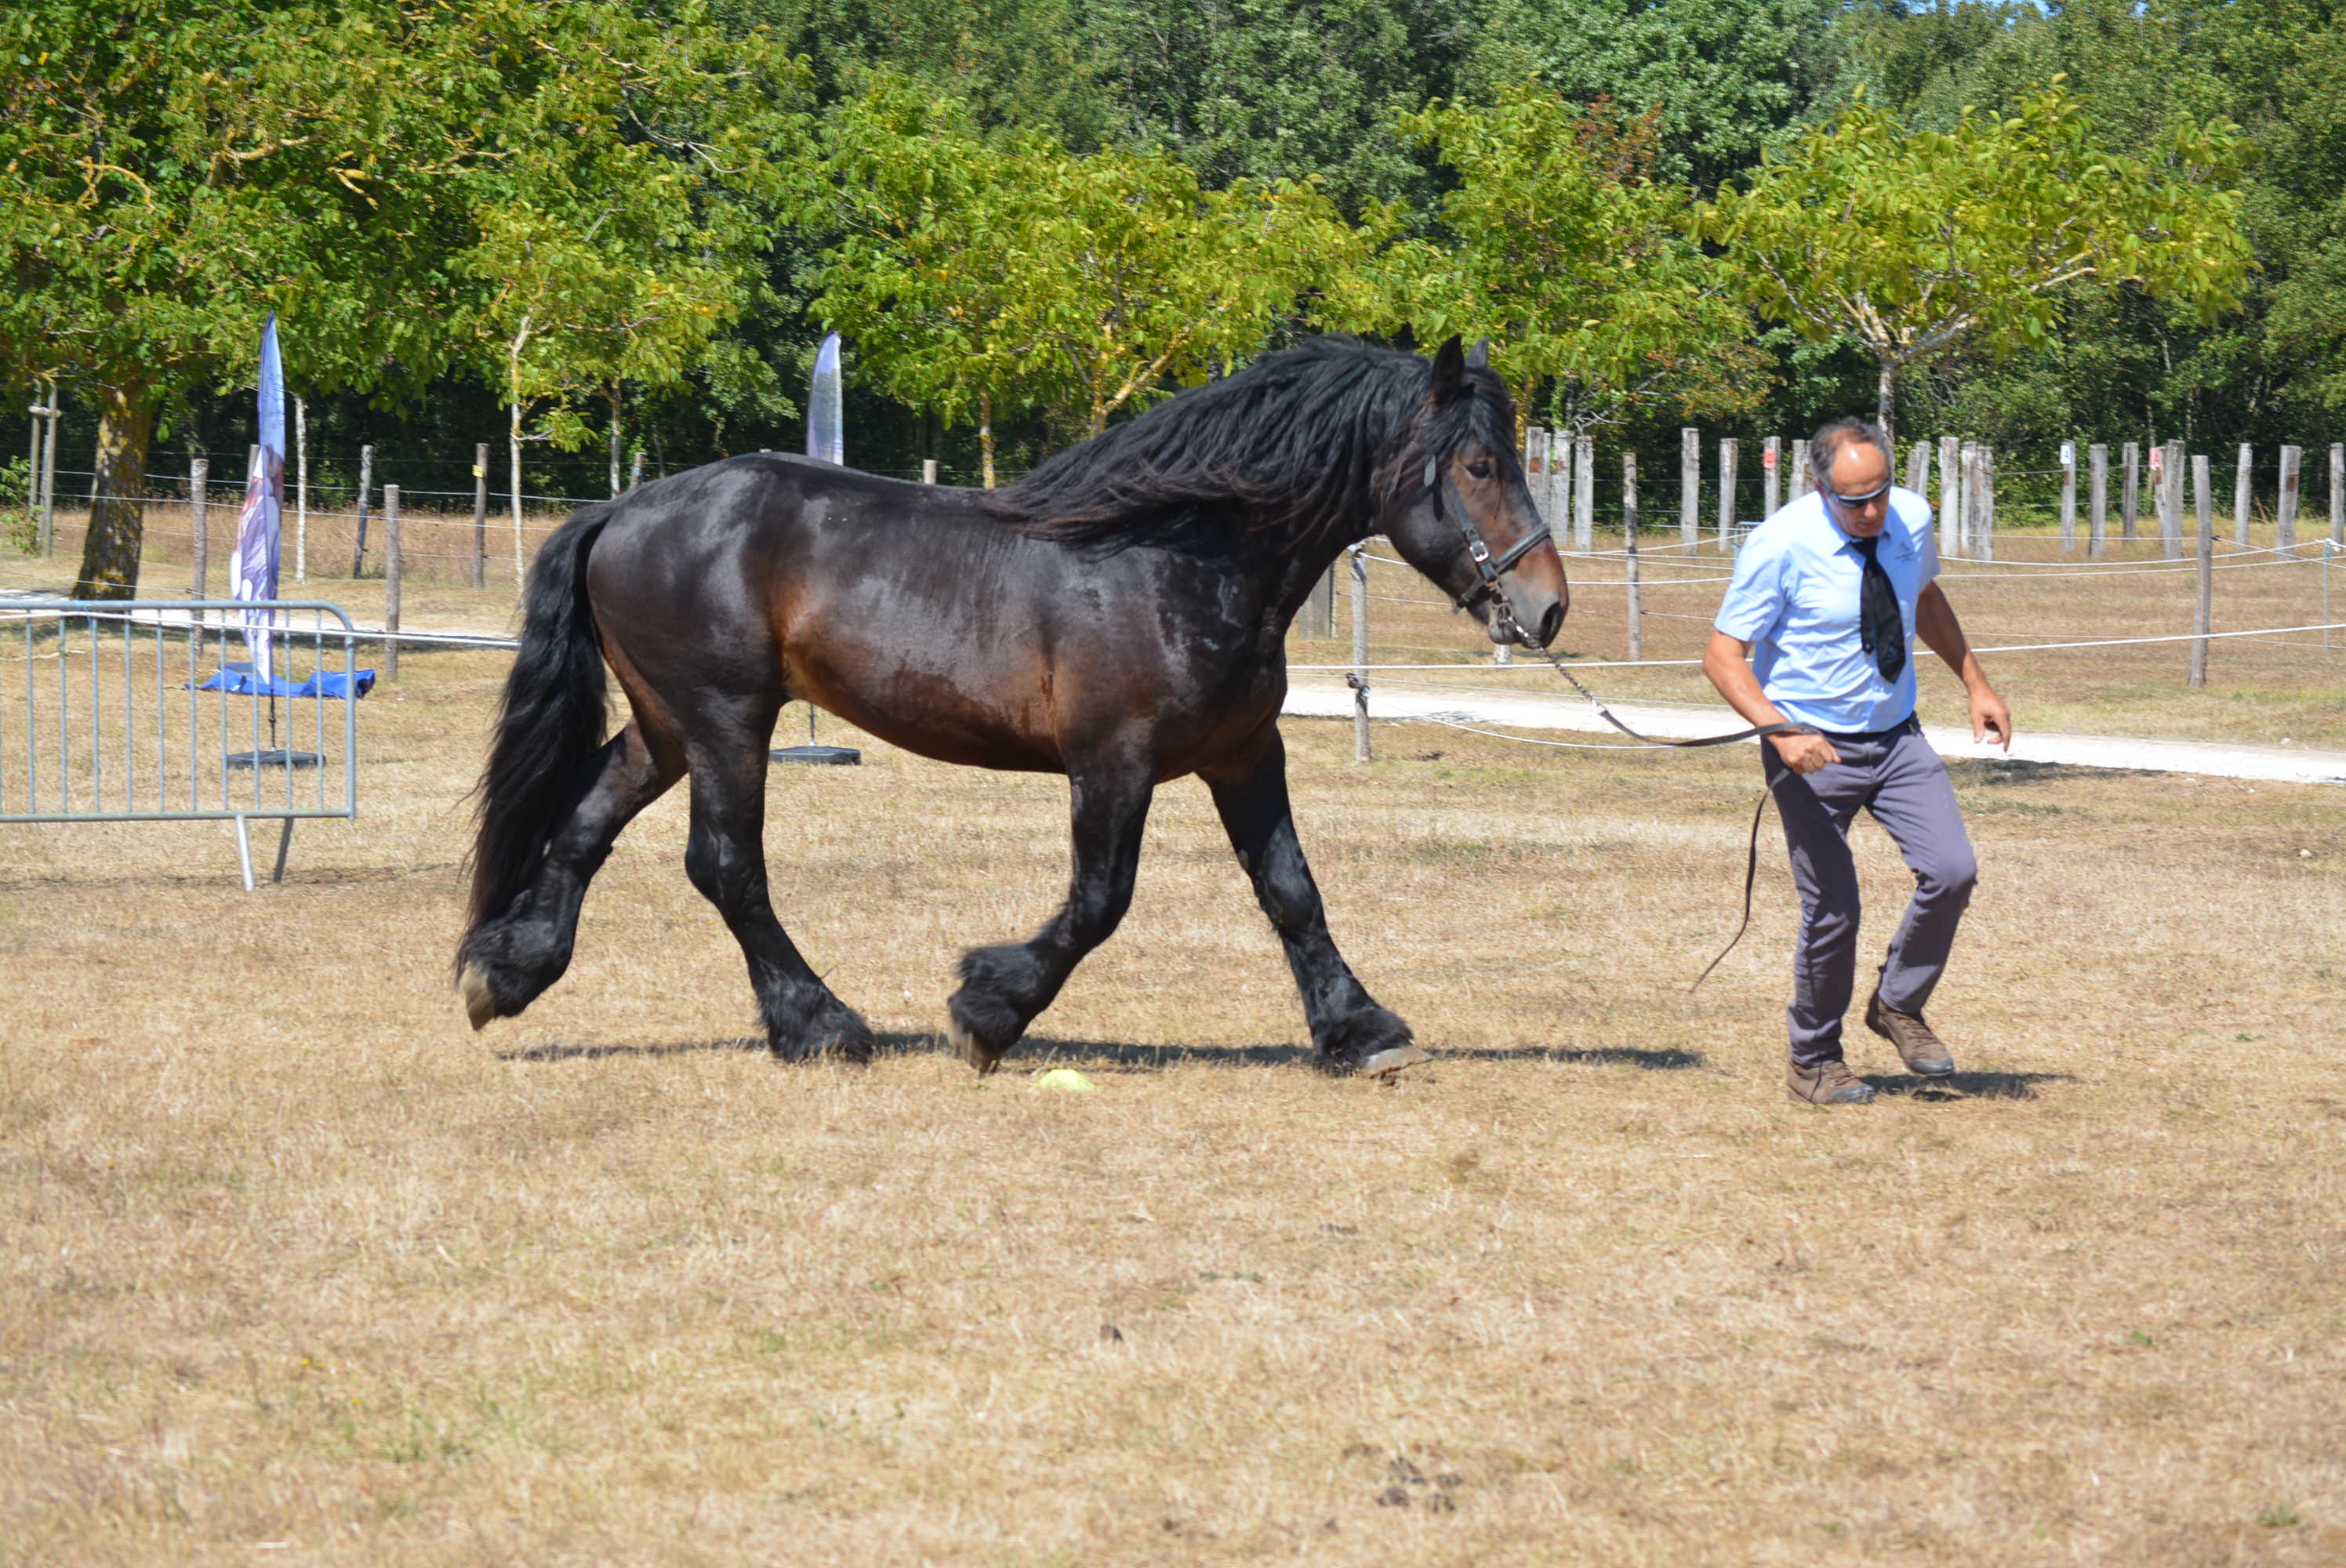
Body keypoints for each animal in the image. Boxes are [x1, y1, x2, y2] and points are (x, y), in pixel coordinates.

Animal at [450, 336, 1567, 1070]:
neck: (1177, 557)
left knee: (582, 824)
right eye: (1478, 463)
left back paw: (505, 974)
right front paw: (986, 1011)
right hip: (728, 721)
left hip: (667, 726)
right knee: (727, 866)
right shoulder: (1113, 763)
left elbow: (1291, 890)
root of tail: (620, 510)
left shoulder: (1245, 754)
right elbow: (1099, 901)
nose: (1546, 606)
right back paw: (821, 1024)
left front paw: (1361, 1029)